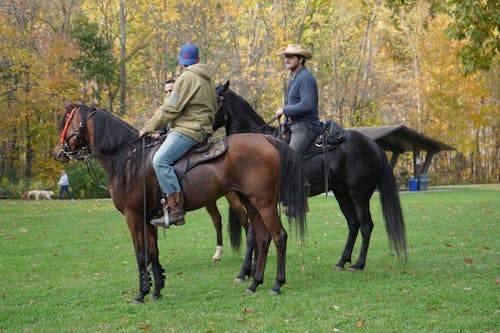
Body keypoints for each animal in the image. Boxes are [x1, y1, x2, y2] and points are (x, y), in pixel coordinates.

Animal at [52, 100, 306, 300]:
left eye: (65, 122)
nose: (58, 152)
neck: (128, 159)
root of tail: (266, 140)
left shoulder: (134, 217)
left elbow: (141, 254)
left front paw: (142, 293)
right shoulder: (148, 218)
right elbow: (153, 253)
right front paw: (156, 289)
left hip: (264, 204)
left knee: (279, 237)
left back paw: (276, 283)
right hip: (251, 203)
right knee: (262, 239)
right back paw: (255, 282)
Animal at [215, 81, 406, 276]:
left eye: (215, 99)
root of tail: (372, 144)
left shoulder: (260, 201)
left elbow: (252, 236)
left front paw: (245, 271)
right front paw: (251, 270)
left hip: (359, 194)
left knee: (366, 225)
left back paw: (358, 264)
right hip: (342, 193)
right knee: (353, 224)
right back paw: (342, 261)